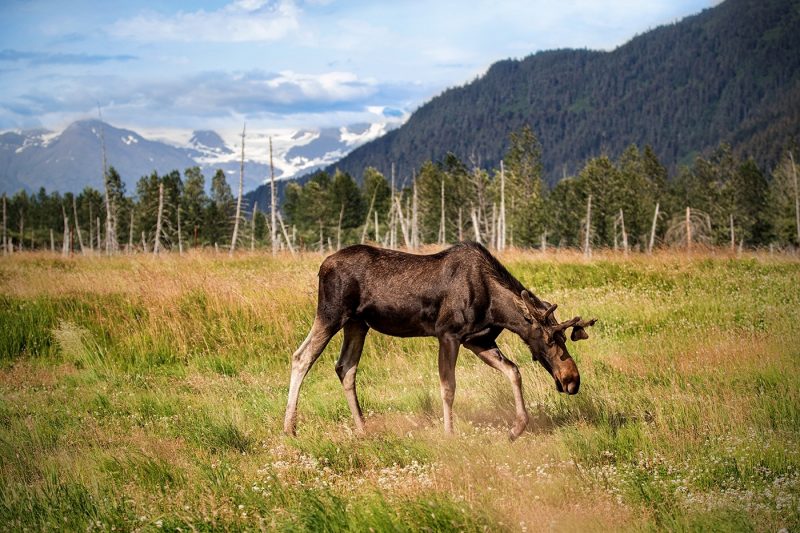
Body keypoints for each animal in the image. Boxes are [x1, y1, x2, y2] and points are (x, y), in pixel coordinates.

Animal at [282, 243, 592, 438]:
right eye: (549, 338)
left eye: (564, 337)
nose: (572, 379)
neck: (496, 309)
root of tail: (321, 267)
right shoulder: (448, 334)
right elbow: (448, 387)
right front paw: (449, 433)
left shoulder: (478, 340)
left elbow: (514, 371)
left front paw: (516, 429)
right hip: (331, 313)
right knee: (301, 356)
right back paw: (289, 429)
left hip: (358, 324)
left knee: (345, 367)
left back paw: (362, 428)